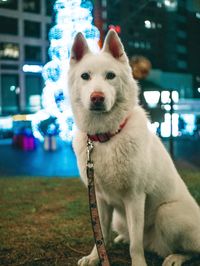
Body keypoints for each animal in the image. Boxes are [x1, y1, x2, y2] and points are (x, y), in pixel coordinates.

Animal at [67, 29, 200, 266]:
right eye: (85, 76)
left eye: (110, 76)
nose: (97, 97)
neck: (106, 138)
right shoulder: (99, 199)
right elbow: (101, 233)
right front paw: (95, 256)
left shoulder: (135, 198)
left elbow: (135, 245)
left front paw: (138, 262)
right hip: (120, 220)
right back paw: (121, 238)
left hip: (167, 213)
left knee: (189, 250)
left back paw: (175, 257)